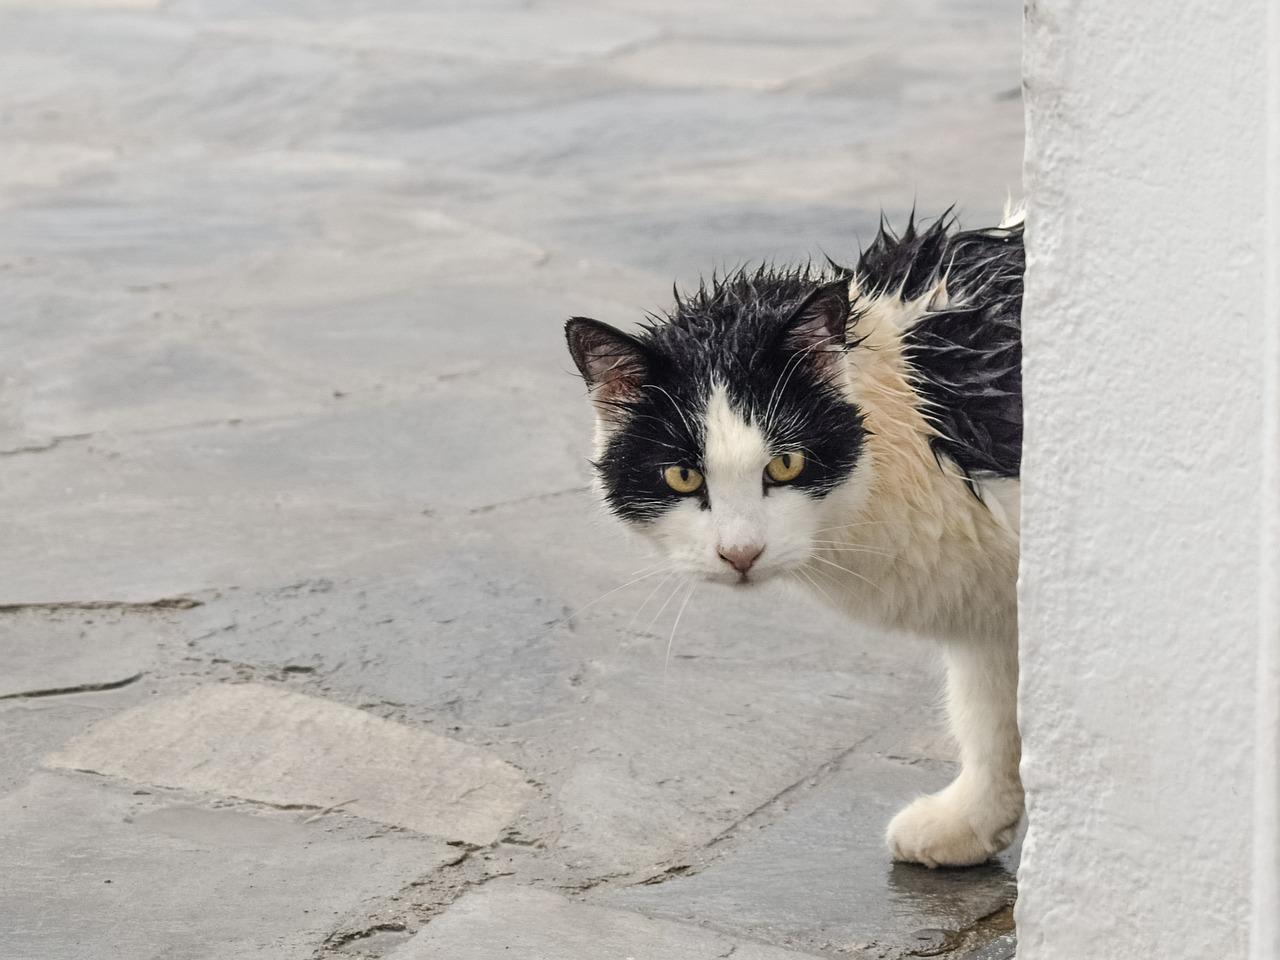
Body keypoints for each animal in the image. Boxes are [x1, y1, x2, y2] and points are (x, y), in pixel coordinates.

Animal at [565, 207, 1024, 870]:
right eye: (682, 477)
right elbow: (989, 717)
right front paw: (972, 820)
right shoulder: (989, 610)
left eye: (785, 465)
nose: (740, 554)